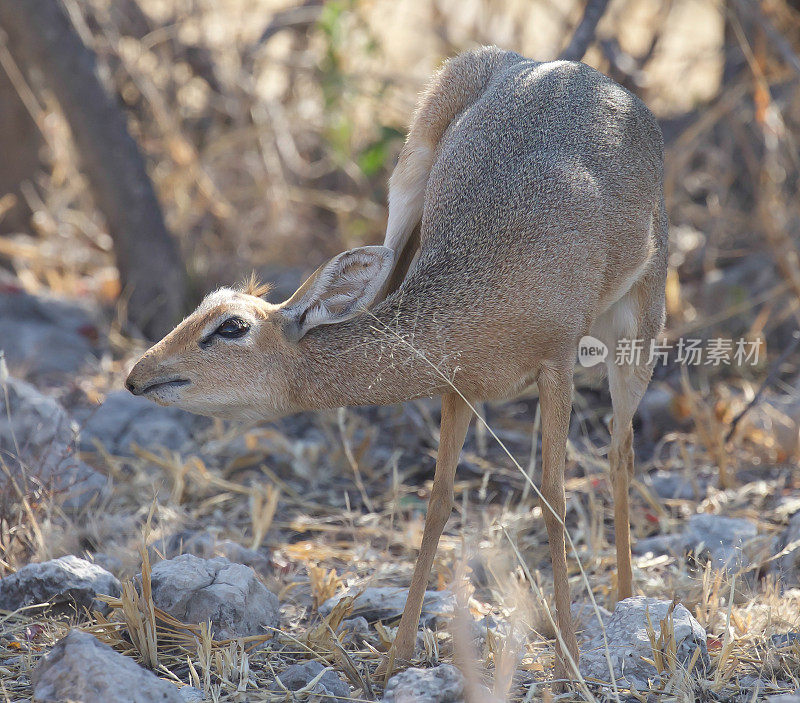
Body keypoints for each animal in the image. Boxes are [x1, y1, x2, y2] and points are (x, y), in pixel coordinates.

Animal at [128, 46, 668, 684]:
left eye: (231, 326)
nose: (137, 375)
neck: (482, 295)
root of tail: (567, 68)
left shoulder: (555, 366)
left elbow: (554, 500)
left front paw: (571, 660)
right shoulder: (460, 387)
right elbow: (437, 504)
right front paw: (400, 653)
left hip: (637, 329)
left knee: (619, 450)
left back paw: (627, 599)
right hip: (405, 193)